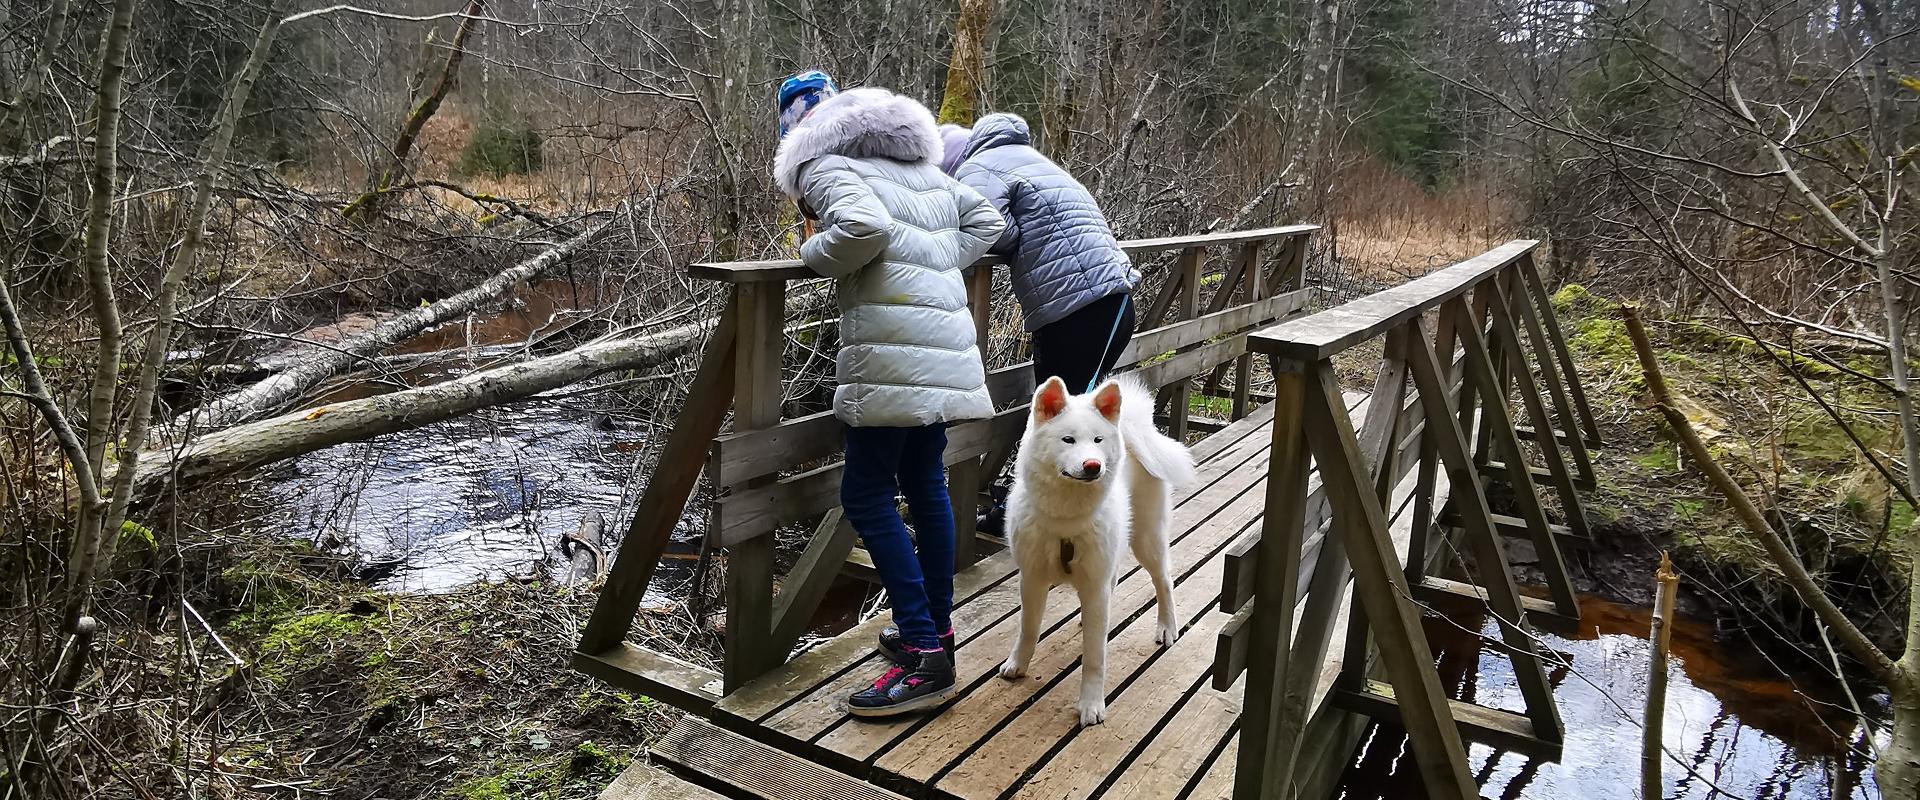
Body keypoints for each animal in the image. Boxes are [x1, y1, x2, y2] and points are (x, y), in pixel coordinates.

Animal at [998, 374, 1190, 721]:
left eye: (1098, 440)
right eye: (1068, 440)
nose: (1092, 465)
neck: (1066, 522)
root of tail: (1132, 428)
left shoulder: (1094, 586)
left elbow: (1094, 656)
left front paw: (1090, 704)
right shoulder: (1032, 579)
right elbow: (1028, 629)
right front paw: (1017, 665)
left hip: (1147, 541)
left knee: (1164, 582)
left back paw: (1167, 626)